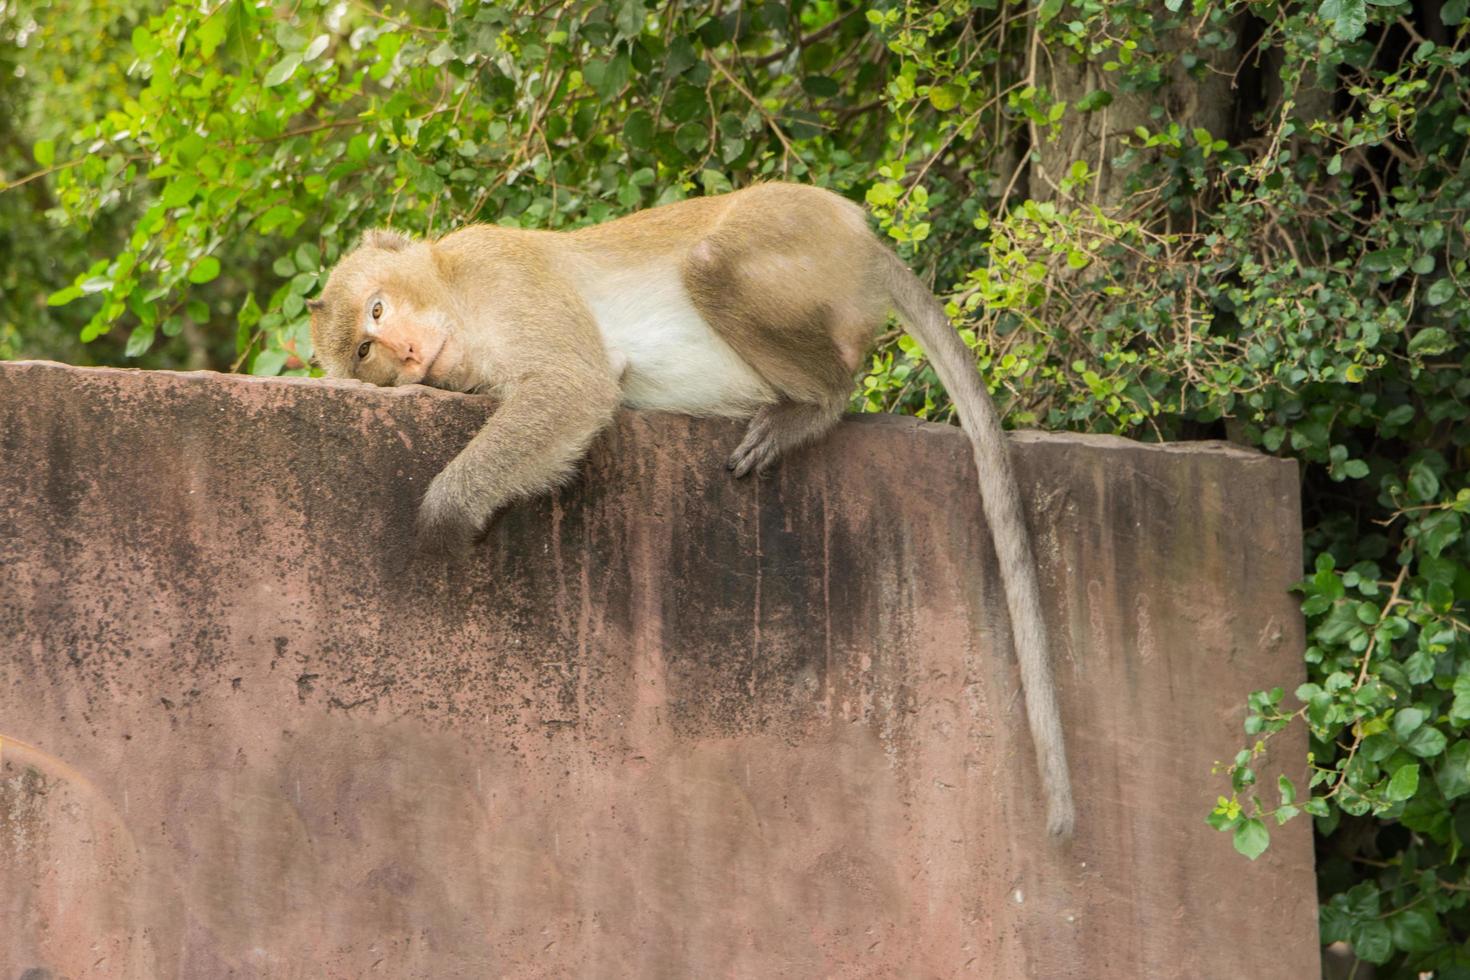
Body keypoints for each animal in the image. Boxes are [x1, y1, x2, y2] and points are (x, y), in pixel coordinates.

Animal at [310, 182, 1076, 834]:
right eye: (365, 349)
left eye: (376, 309)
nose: (406, 351)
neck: (453, 292)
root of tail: (861, 235)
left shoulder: (497, 266)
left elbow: (575, 386)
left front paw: (446, 517)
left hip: (806, 243)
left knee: (712, 264)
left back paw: (818, 403)